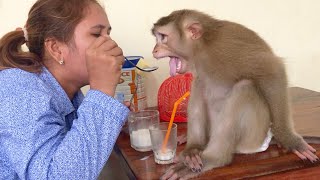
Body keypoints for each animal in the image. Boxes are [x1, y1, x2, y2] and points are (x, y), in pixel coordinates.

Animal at [151, 9, 318, 180]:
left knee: (245, 88)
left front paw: (289, 140)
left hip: (253, 138)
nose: (154, 50)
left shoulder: (227, 48)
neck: (202, 48)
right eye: (156, 37)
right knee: (199, 84)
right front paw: (192, 148)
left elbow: (274, 71)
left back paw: (213, 158)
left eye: (163, 37)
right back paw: (193, 149)